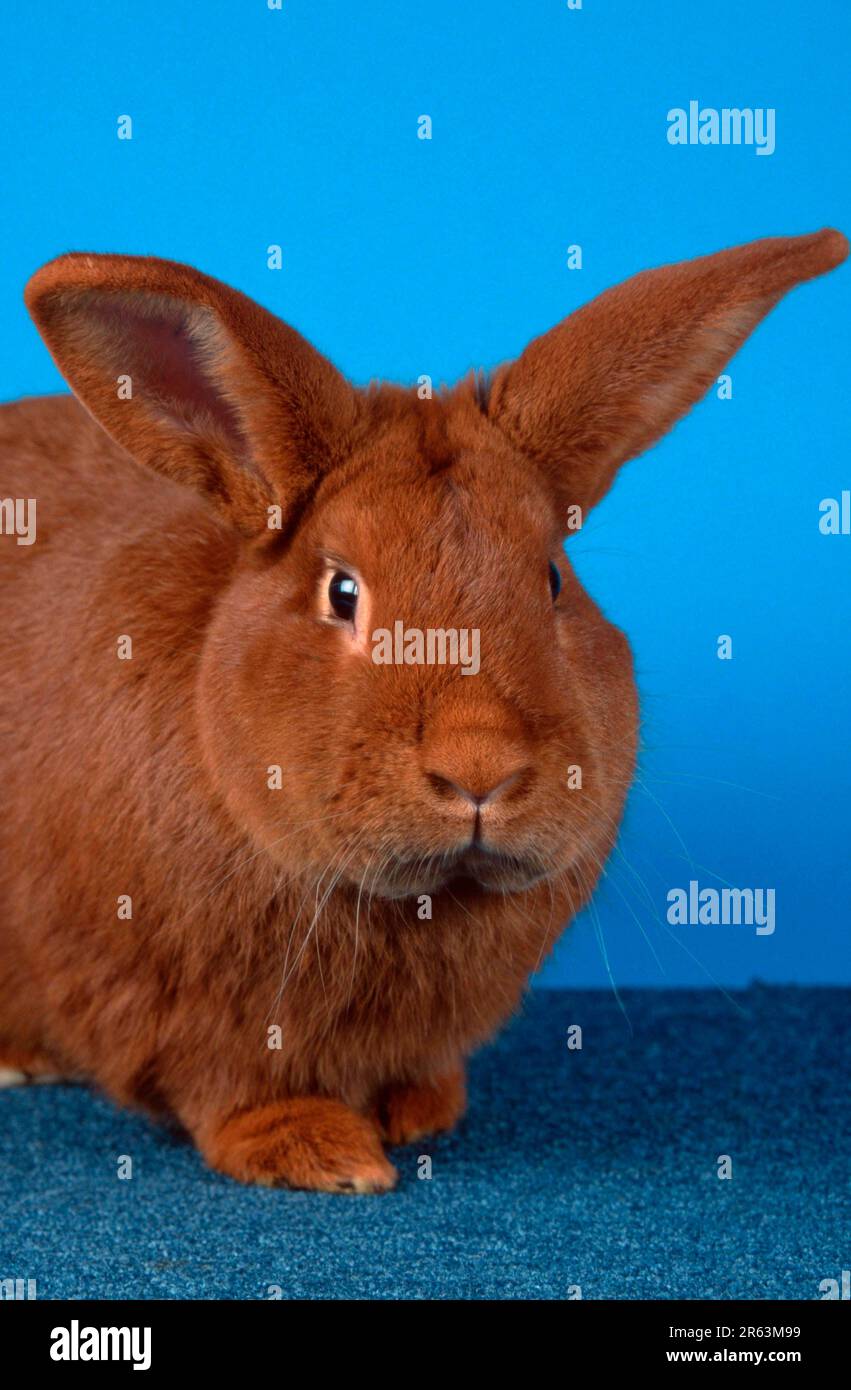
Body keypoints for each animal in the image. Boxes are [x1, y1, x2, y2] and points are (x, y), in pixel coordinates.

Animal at [0, 228, 846, 1192]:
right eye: (341, 592)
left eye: (552, 579)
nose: (480, 767)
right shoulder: (172, 1012)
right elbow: (230, 1091)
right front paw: (322, 1154)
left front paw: (421, 1110)